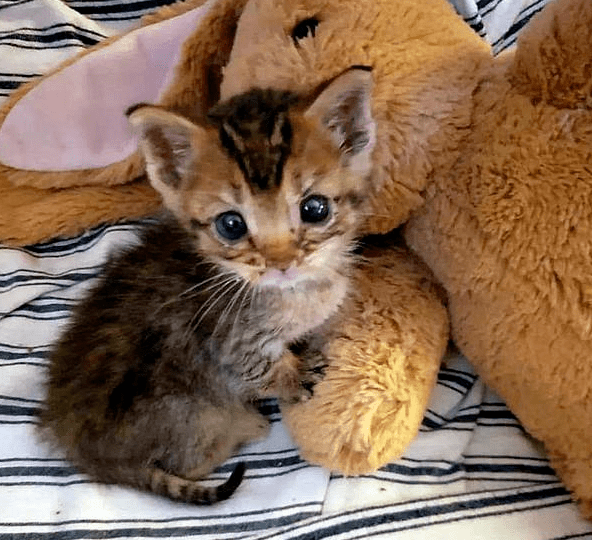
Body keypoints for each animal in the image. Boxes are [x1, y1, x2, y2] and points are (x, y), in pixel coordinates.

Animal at [39, 67, 376, 506]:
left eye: (314, 209)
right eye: (230, 225)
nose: (281, 263)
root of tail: (90, 455)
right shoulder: (230, 345)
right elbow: (260, 369)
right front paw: (295, 375)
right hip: (195, 414)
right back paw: (247, 426)